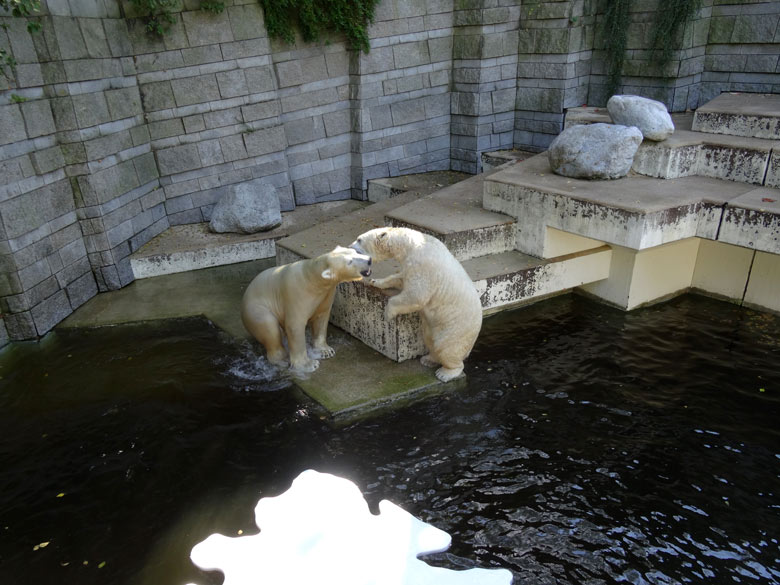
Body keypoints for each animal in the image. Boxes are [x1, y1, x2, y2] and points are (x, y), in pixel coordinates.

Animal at [242, 244, 374, 372]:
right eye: (349, 262)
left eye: (356, 252)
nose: (369, 260)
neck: (312, 278)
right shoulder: (297, 294)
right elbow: (295, 326)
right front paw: (308, 365)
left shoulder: (326, 293)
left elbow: (321, 318)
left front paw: (326, 351)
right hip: (255, 310)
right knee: (270, 328)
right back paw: (283, 360)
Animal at [348, 226, 482, 380]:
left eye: (359, 239)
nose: (349, 247)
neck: (411, 245)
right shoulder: (408, 266)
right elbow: (400, 278)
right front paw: (376, 281)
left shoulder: (423, 266)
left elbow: (416, 295)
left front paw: (388, 314)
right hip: (435, 329)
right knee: (430, 340)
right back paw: (428, 359)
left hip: (455, 329)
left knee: (447, 348)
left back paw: (445, 373)